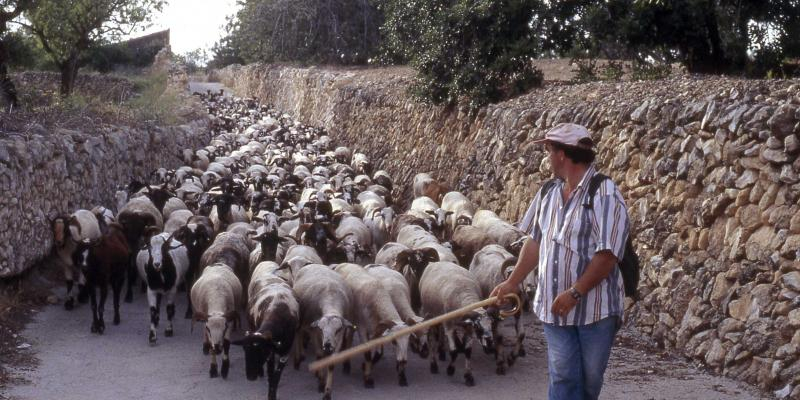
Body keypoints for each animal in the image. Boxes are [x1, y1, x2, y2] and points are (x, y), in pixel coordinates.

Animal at [236, 262, 302, 400]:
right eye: (245, 349)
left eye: (262, 350)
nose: (250, 377)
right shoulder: (271, 353)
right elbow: (271, 373)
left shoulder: (284, 353)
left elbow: (276, 377)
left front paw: (272, 394)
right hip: (252, 324)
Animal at [292, 264, 354, 398]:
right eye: (321, 328)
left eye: (338, 329)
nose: (327, 345)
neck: (331, 301)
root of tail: (313, 264)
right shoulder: (314, 332)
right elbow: (320, 355)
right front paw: (320, 384)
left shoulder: (339, 339)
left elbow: (330, 363)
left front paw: (327, 392)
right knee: (298, 333)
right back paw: (297, 360)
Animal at [468, 244, 524, 376]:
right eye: (512, 275)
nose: (522, 296)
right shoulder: (495, 314)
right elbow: (499, 337)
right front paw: (500, 364)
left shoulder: (518, 314)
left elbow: (521, 334)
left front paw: (512, 358)